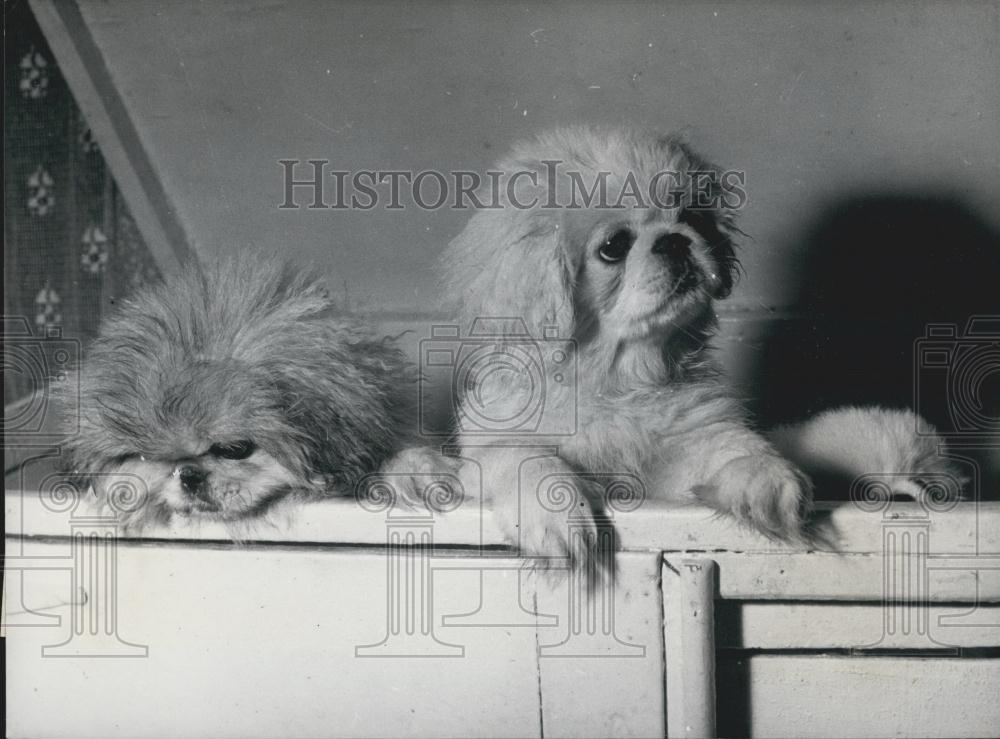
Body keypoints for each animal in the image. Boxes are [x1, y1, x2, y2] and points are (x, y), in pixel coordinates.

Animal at [444, 129, 952, 568]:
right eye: (613, 247)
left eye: (690, 218)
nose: (674, 240)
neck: (621, 380)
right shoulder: (488, 454)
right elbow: (527, 459)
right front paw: (559, 520)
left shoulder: (678, 467)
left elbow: (733, 449)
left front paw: (765, 479)